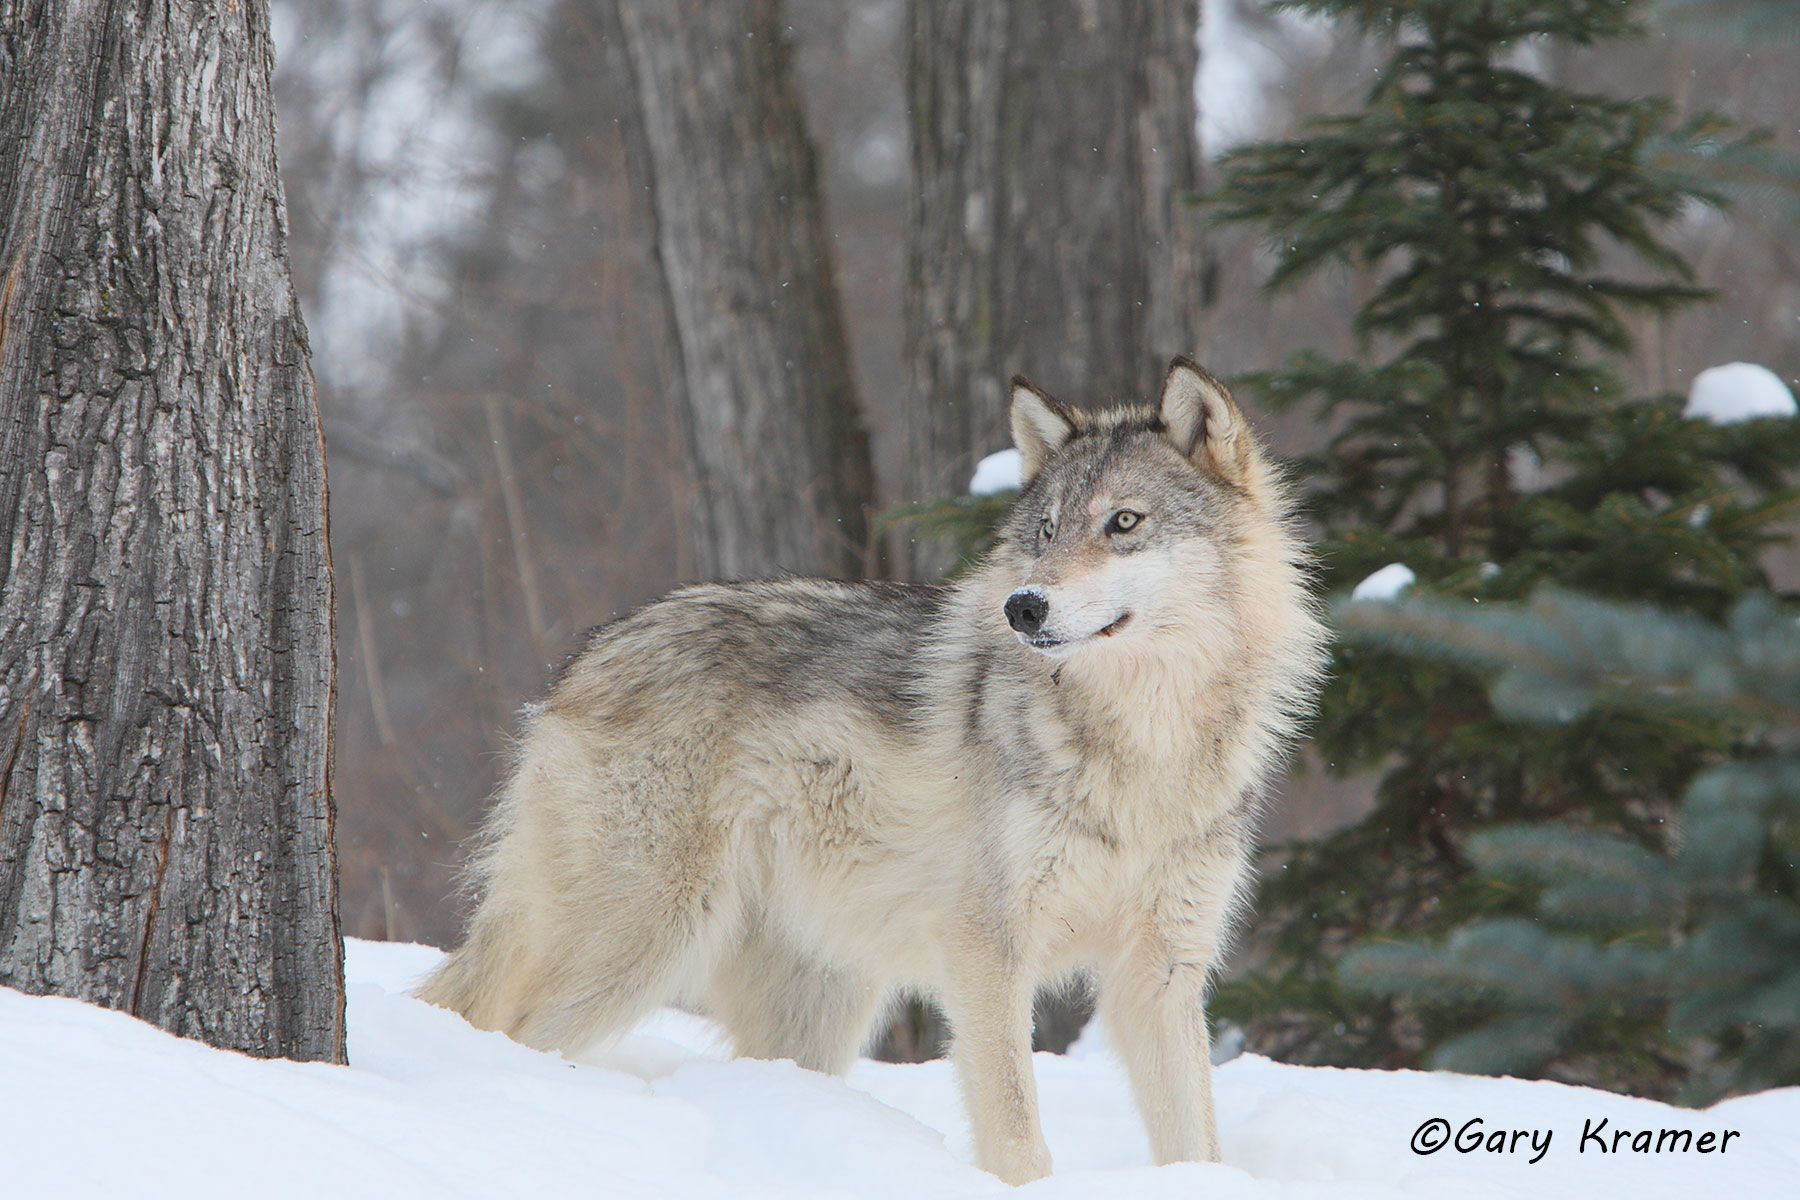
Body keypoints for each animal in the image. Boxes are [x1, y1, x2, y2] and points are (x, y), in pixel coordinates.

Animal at [420, 358, 1327, 1184]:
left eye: (1124, 522)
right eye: (1045, 531)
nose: (1023, 606)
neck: (1142, 742)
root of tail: (580, 664)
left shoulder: (1162, 971)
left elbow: (1198, 1144)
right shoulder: (987, 951)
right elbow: (1019, 1139)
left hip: (812, 1007)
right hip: (642, 943)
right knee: (508, 1029)